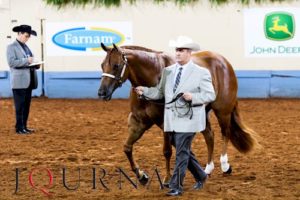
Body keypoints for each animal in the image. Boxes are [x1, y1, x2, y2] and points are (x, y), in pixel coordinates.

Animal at [97, 43, 256, 185]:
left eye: (116, 65)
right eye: (102, 65)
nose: (102, 92)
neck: (154, 77)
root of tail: (224, 62)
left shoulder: (165, 123)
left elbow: (167, 151)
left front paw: (167, 179)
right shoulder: (138, 122)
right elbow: (127, 147)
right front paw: (142, 176)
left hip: (223, 110)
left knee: (225, 133)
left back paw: (225, 165)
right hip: (203, 113)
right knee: (210, 136)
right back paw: (208, 169)